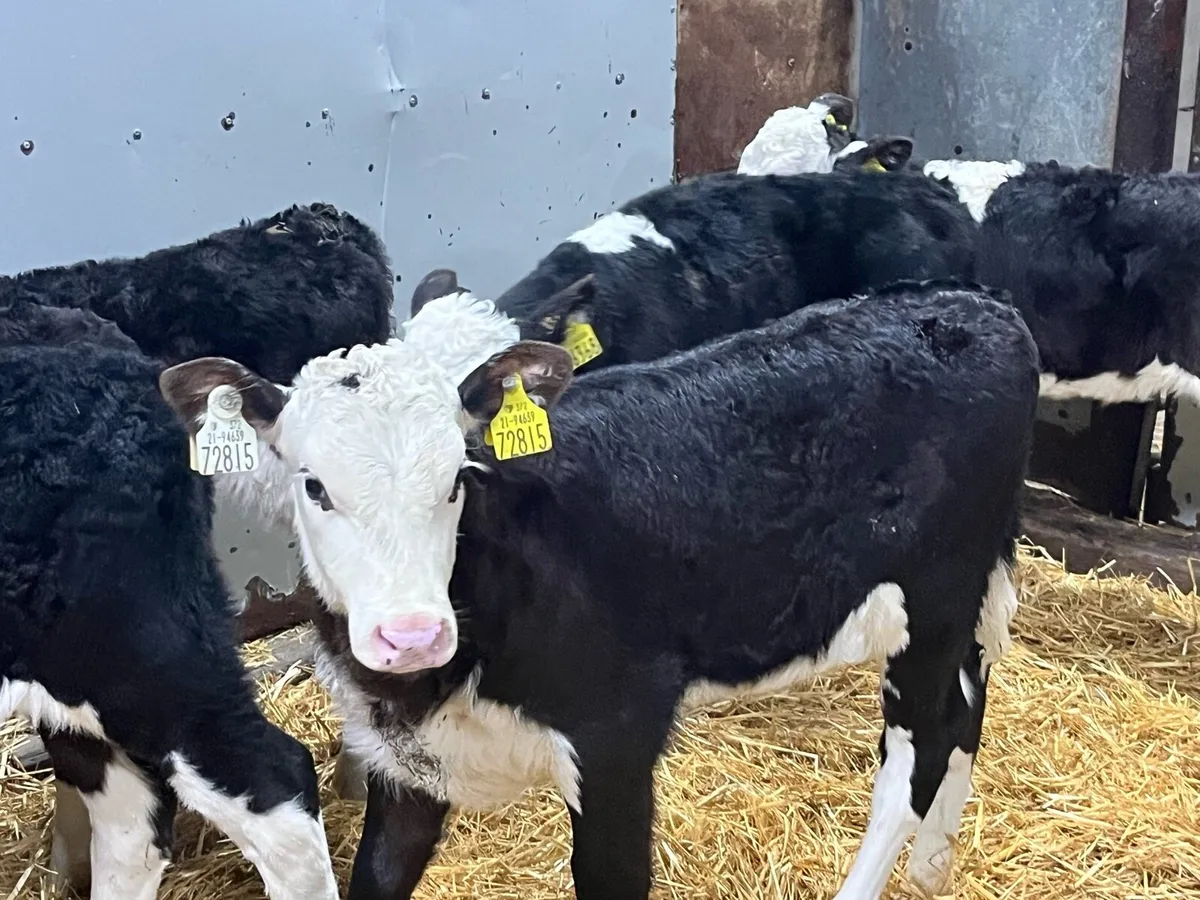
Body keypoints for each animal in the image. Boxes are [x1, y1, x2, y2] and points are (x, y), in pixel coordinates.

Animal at [159, 277, 1040, 900]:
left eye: (458, 477)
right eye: (313, 486)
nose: (410, 634)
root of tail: (976, 301)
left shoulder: (619, 736)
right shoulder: (406, 767)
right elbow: (377, 876)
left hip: (934, 597)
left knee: (916, 754)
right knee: (967, 705)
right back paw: (933, 869)